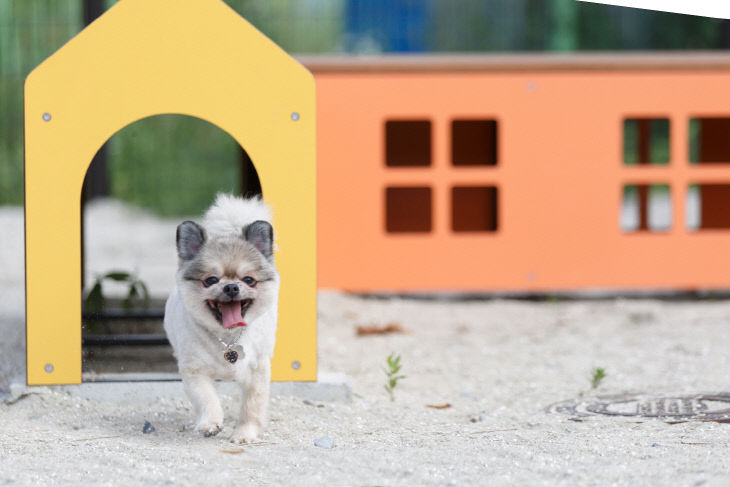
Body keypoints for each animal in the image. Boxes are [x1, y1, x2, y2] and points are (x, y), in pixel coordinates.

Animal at [164, 193, 278, 442]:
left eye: (249, 280)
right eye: (211, 280)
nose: (232, 287)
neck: (228, 338)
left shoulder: (256, 372)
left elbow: (251, 407)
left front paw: (245, 432)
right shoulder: (194, 372)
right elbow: (207, 399)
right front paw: (210, 423)